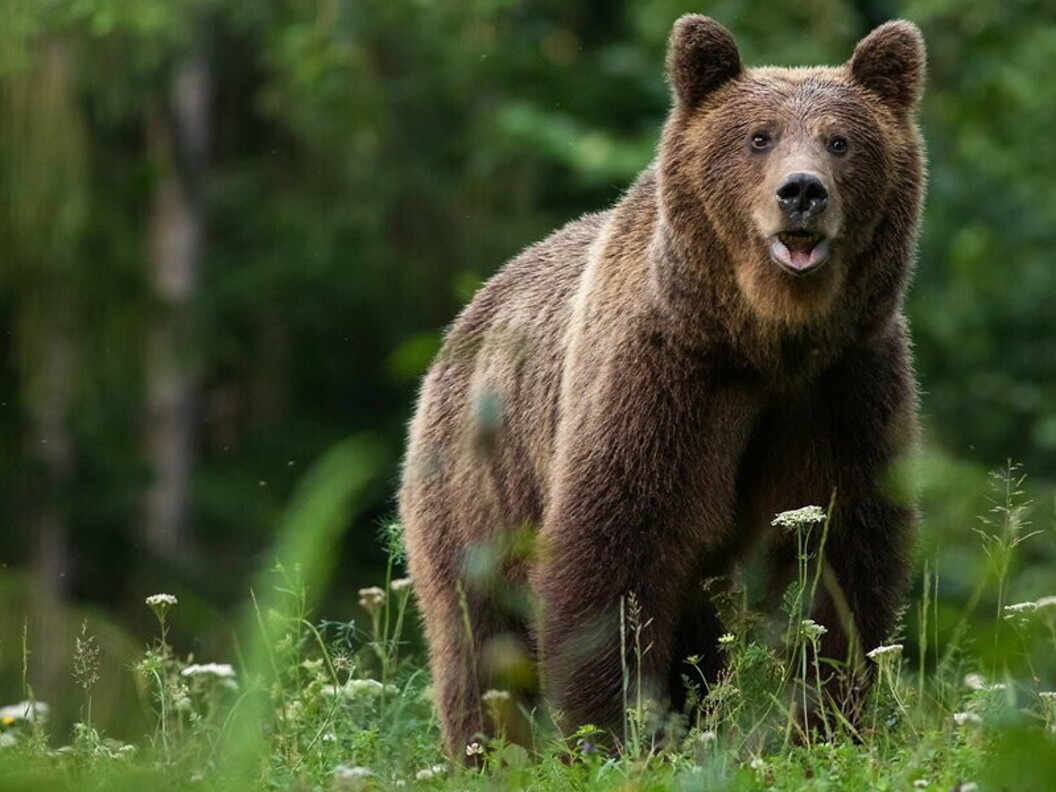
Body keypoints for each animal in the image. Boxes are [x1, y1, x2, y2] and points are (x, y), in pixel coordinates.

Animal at [399, 15, 925, 758]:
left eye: (840, 140)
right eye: (758, 136)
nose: (802, 192)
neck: (765, 340)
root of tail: (465, 318)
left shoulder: (845, 386)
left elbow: (843, 556)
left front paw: (826, 722)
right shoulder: (664, 379)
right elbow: (616, 549)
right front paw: (615, 731)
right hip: (478, 482)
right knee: (479, 634)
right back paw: (489, 750)